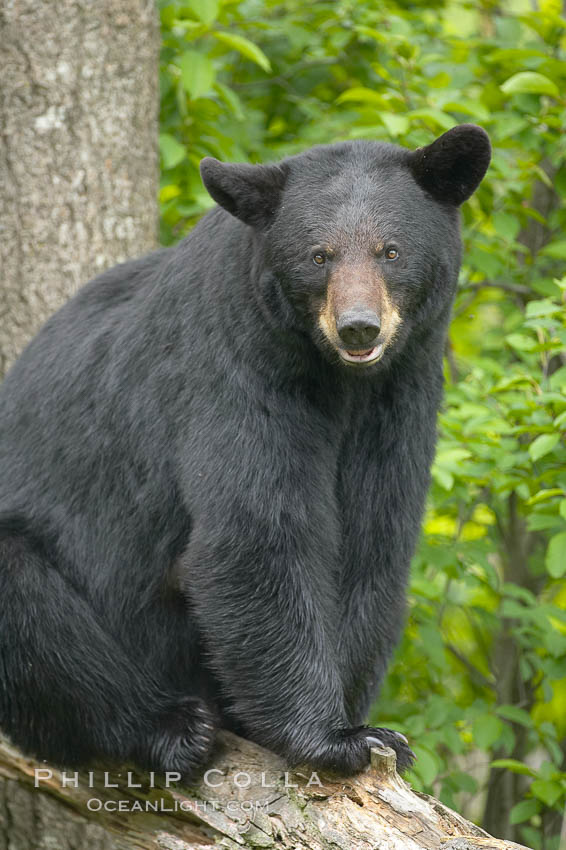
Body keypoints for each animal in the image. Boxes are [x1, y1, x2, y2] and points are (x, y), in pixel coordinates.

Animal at [0, 124, 490, 776]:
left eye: (390, 250)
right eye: (318, 255)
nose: (359, 326)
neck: (338, 378)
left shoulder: (400, 392)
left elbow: (371, 539)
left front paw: (364, 721)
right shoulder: (236, 359)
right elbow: (258, 527)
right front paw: (333, 736)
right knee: (37, 618)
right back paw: (171, 725)